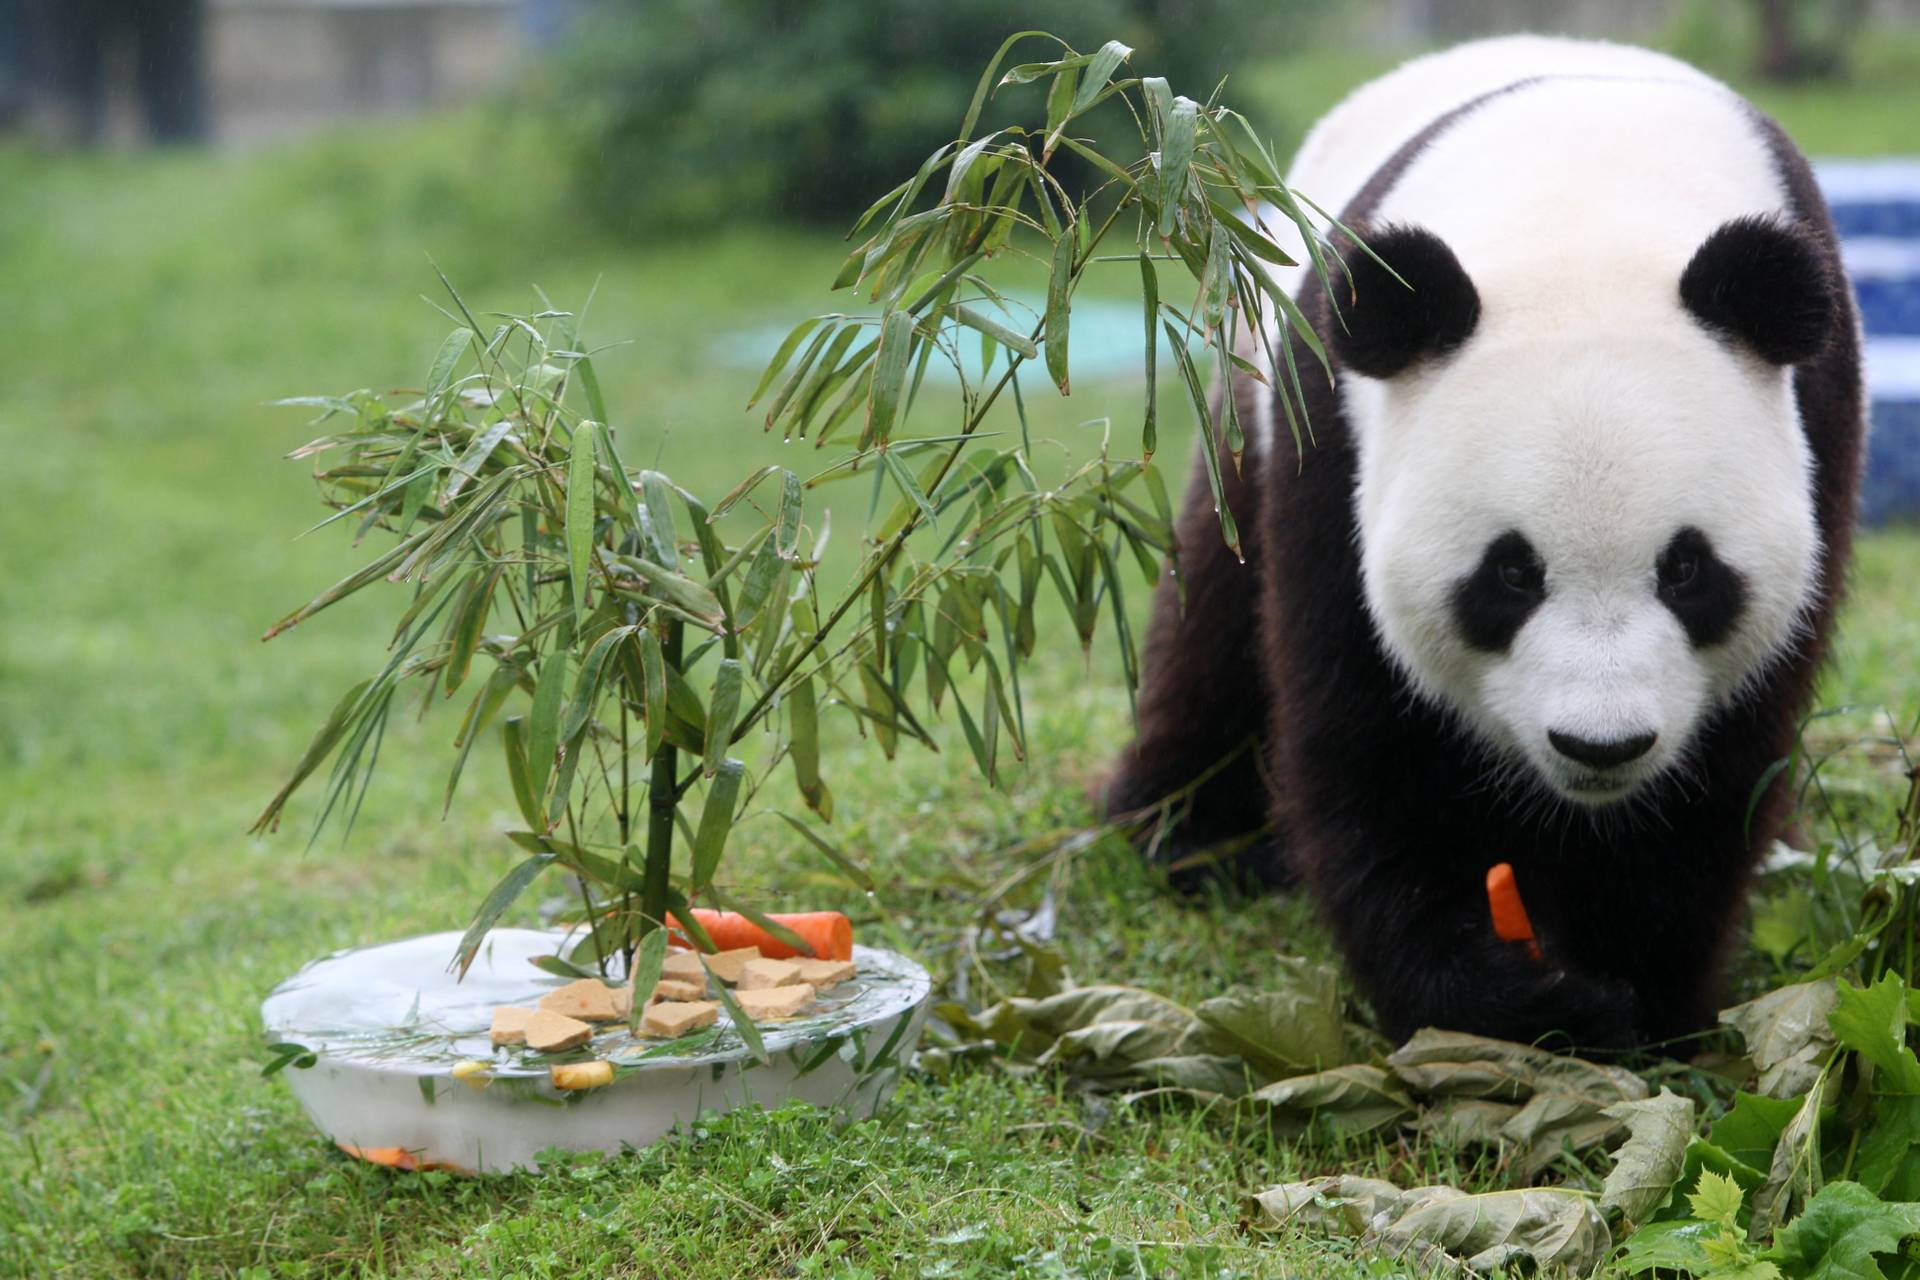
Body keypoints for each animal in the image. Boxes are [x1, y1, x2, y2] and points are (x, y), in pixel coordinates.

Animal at [1105, 37, 1866, 1051]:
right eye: (1510, 574)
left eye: (1686, 569)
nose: (1601, 746)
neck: (1584, 215)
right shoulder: (1334, 440)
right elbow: (1376, 745)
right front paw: (1511, 999)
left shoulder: (1820, 427)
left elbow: (1719, 776)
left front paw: (1634, 988)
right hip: (1248, 382)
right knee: (1214, 611)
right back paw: (1189, 836)